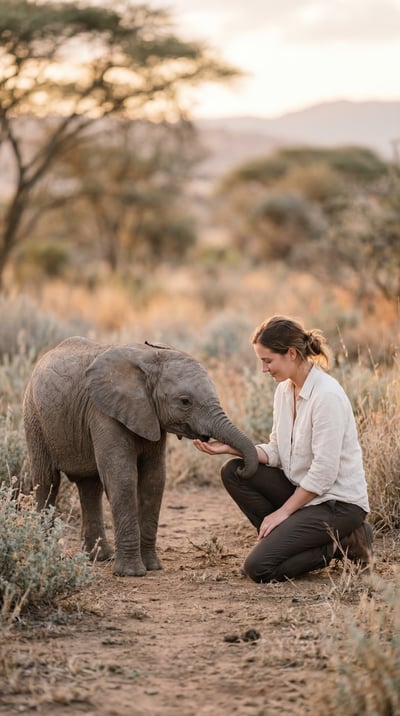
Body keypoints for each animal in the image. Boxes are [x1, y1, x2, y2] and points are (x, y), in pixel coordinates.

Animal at [23, 336, 258, 576]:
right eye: (185, 401)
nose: (241, 468)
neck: (151, 359)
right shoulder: (104, 412)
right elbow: (123, 478)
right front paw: (131, 573)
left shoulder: (150, 416)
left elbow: (154, 481)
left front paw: (153, 567)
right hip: (34, 416)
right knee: (46, 481)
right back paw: (46, 552)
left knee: (90, 487)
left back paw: (100, 557)